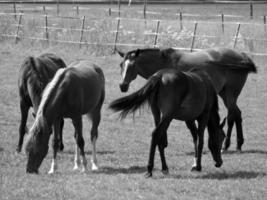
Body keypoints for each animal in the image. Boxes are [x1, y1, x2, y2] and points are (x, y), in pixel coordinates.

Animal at [116, 48, 258, 152]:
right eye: (121, 65)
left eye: (133, 65)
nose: (122, 85)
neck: (165, 63)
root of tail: (242, 57)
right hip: (224, 94)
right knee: (237, 114)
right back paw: (239, 144)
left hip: (230, 94)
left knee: (231, 116)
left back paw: (226, 146)